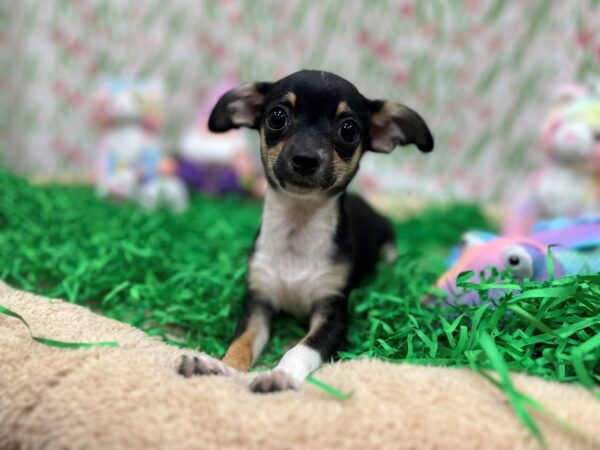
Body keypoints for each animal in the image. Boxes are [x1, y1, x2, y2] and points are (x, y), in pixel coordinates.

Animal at [176, 68, 434, 392]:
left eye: (349, 130)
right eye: (277, 117)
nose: (306, 159)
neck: (297, 228)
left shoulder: (332, 313)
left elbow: (301, 348)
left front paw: (281, 375)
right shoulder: (259, 304)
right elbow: (240, 343)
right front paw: (220, 366)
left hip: (388, 247)